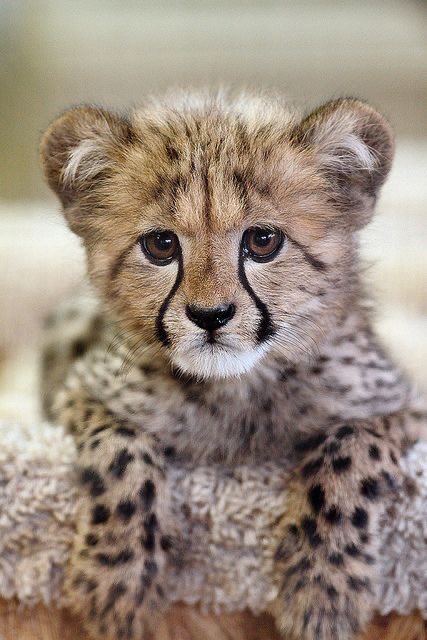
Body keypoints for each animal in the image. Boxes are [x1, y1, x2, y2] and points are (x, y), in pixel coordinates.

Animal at [39, 90, 427, 640]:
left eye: (262, 240)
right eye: (161, 245)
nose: (211, 315)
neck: (238, 387)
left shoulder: (402, 407)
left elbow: (350, 448)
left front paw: (322, 586)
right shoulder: (82, 392)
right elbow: (122, 452)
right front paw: (118, 581)